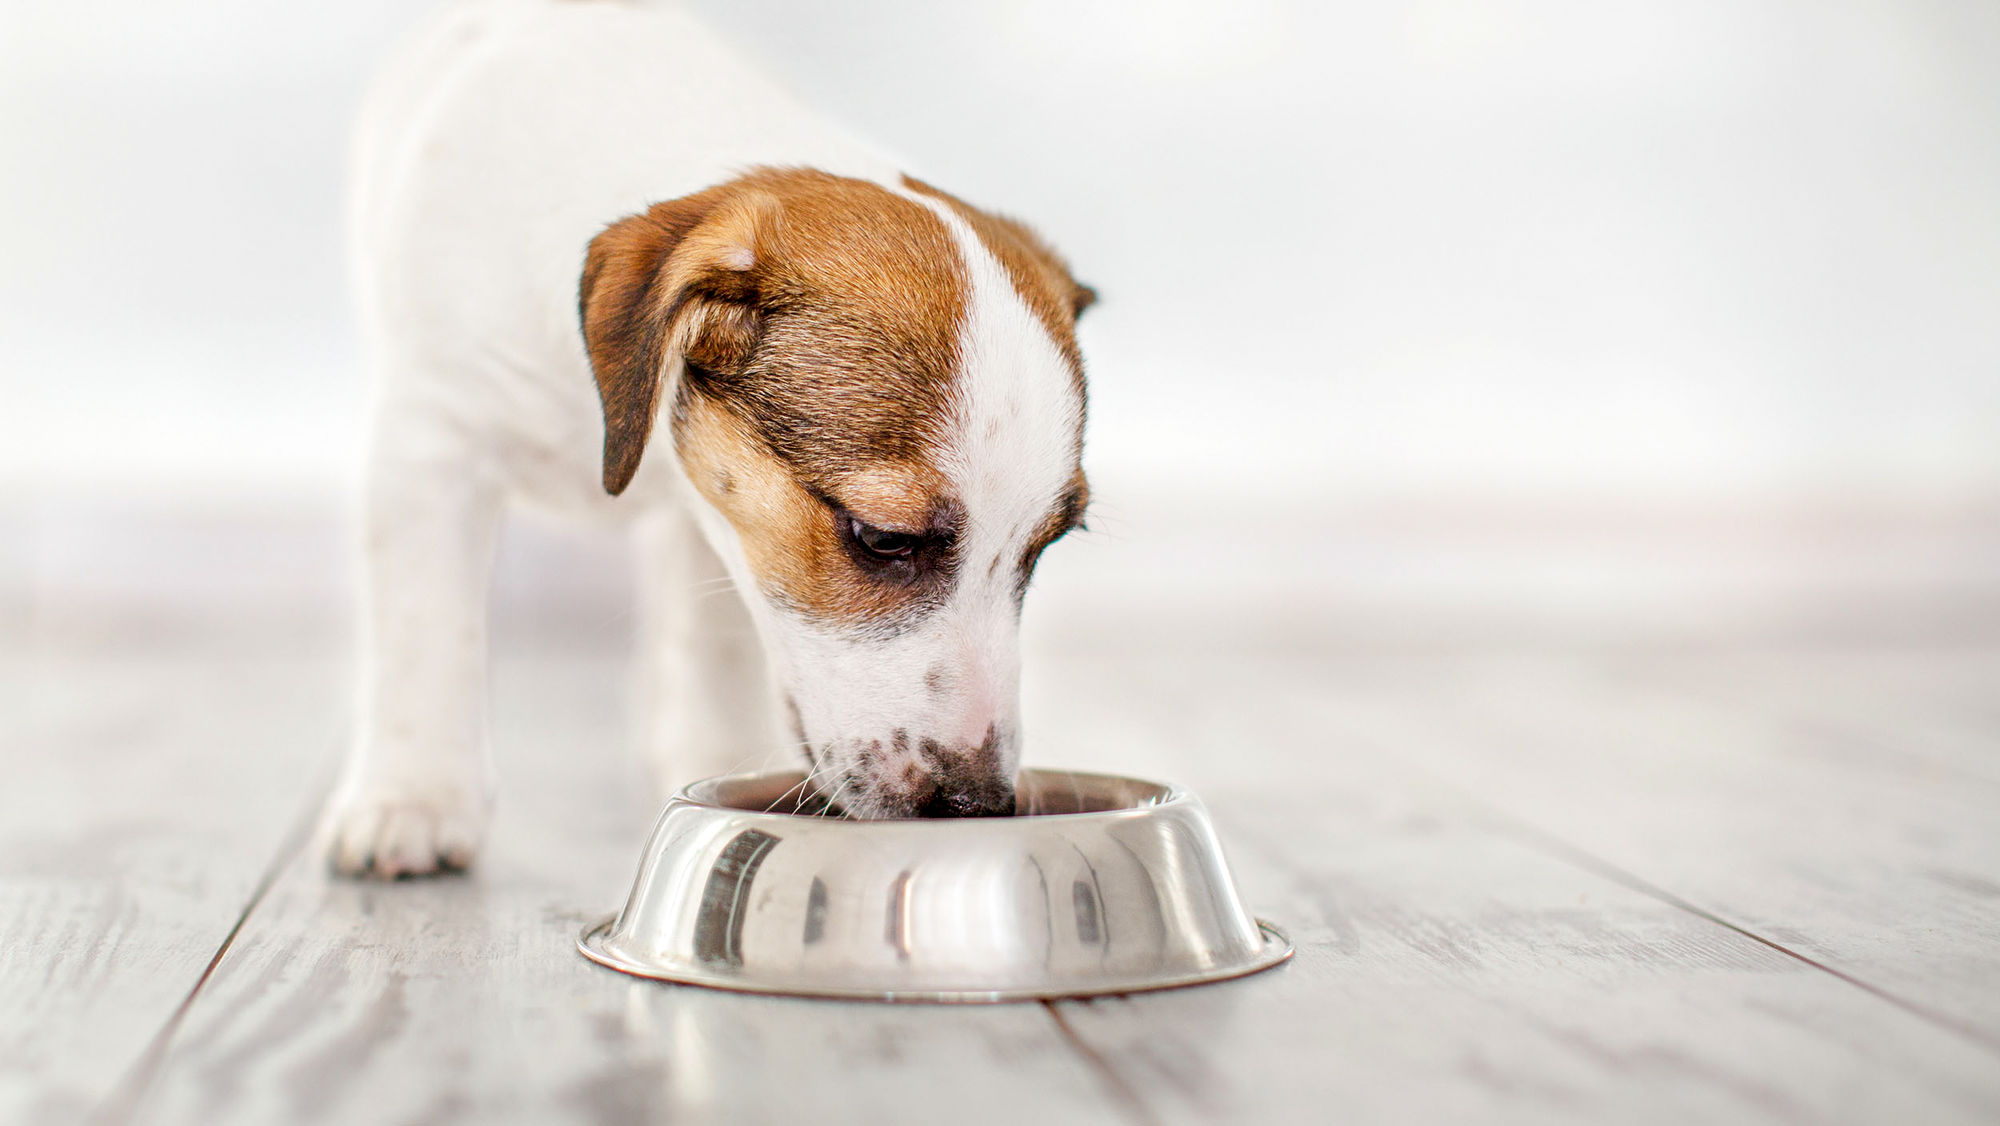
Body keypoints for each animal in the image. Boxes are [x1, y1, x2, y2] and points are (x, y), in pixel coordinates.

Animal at [322, 2, 1096, 880]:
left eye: (1047, 545)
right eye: (881, 538)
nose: (976, 804)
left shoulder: (717, 517)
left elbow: (719, 641)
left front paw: (719, 759)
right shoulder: (432, 444)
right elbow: (426, 632)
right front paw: (412, 795)